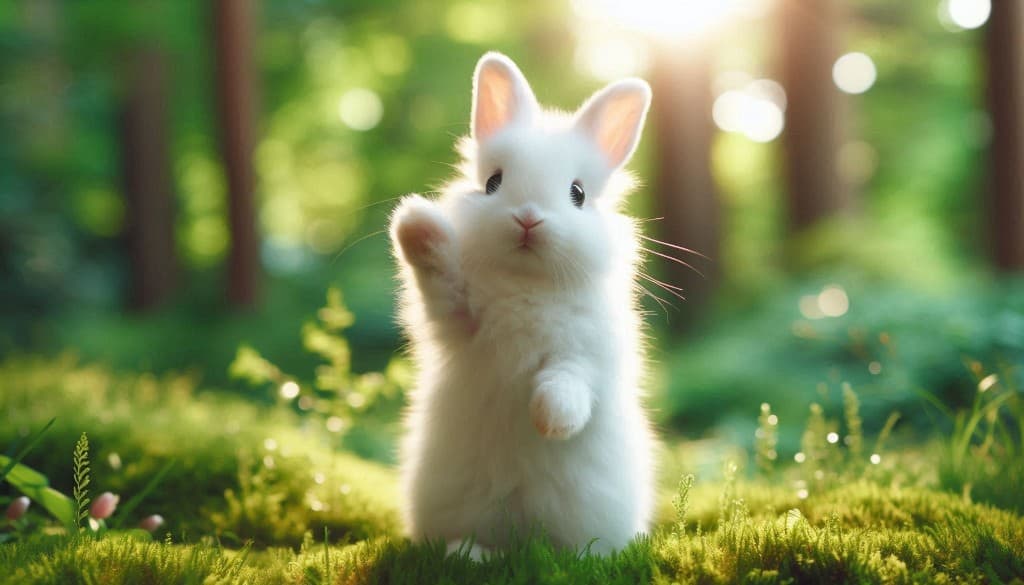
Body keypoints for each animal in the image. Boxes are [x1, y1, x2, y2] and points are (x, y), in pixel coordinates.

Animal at [389, 51, 655, 557]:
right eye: (493, 182)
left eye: (578, 193)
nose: (528, 218)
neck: (526, 283)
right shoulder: (458, 320)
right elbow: (442, 279)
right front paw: (415, 223)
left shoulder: (587, 353)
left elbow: (567, 383)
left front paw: (549, 421)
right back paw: (468, 555)